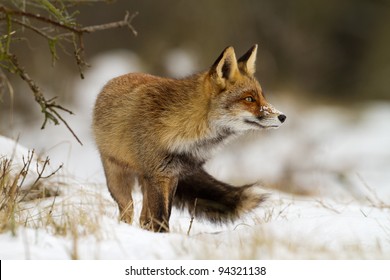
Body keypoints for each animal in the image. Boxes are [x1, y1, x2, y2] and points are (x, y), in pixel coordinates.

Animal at [93, 44, 284, 232]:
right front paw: (163, 237)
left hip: (145, 181)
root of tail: (113, 80)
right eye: (249, 99)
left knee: (143, 218)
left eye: (262, 96)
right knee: (127, 211)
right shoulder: (159, 175)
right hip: (117, 178)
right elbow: (161, 217)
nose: (282, 117)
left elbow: (165, 213)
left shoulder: (172, 176)